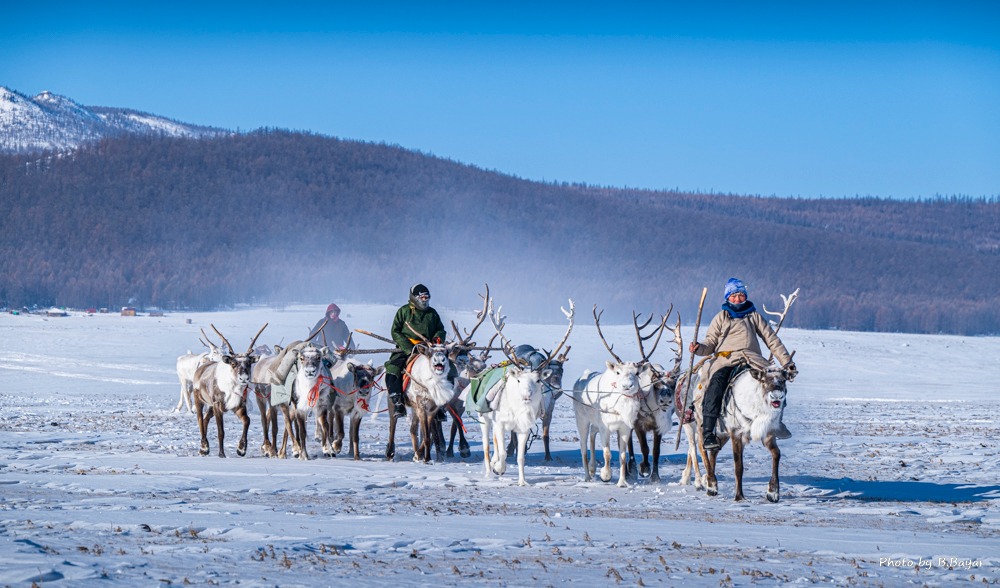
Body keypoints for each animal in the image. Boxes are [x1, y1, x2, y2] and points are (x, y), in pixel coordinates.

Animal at [191, 323, 267, 458]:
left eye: (249, 363)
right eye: (233, 363)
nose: (244, 378)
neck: (232, 388)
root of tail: (201, 367)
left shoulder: (238, 405)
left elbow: (247, 420)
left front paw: (241, 449)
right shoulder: (218, 404)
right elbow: (221, 431)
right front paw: (222, 454)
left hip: (211, 406)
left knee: (205, 419)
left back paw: (204, 448)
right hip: (199, 399)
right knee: (200, 419)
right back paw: (204, 448)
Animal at [478, 297, 575, 485]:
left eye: (538, 380)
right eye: (519, 380)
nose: (526, 395)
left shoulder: (525, 427)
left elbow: (521, 456)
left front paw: (522, 482)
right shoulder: (500, 423)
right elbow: (502, 451)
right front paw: (498, 467)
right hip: (484, 419)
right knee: (487, 445)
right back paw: (488, 470)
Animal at [572, 306, 642, 487]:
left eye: (637, 373)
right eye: (618, 372)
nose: (627, 386)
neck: (618, 407)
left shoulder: (624, 428)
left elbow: (623, 456)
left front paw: (622, 482)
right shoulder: (605, 427)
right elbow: (608, 453)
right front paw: (606, 475)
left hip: (595, 423)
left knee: (592, 435)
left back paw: (592, 469)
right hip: (582, 420)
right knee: (583, 445)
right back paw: (587, 476)